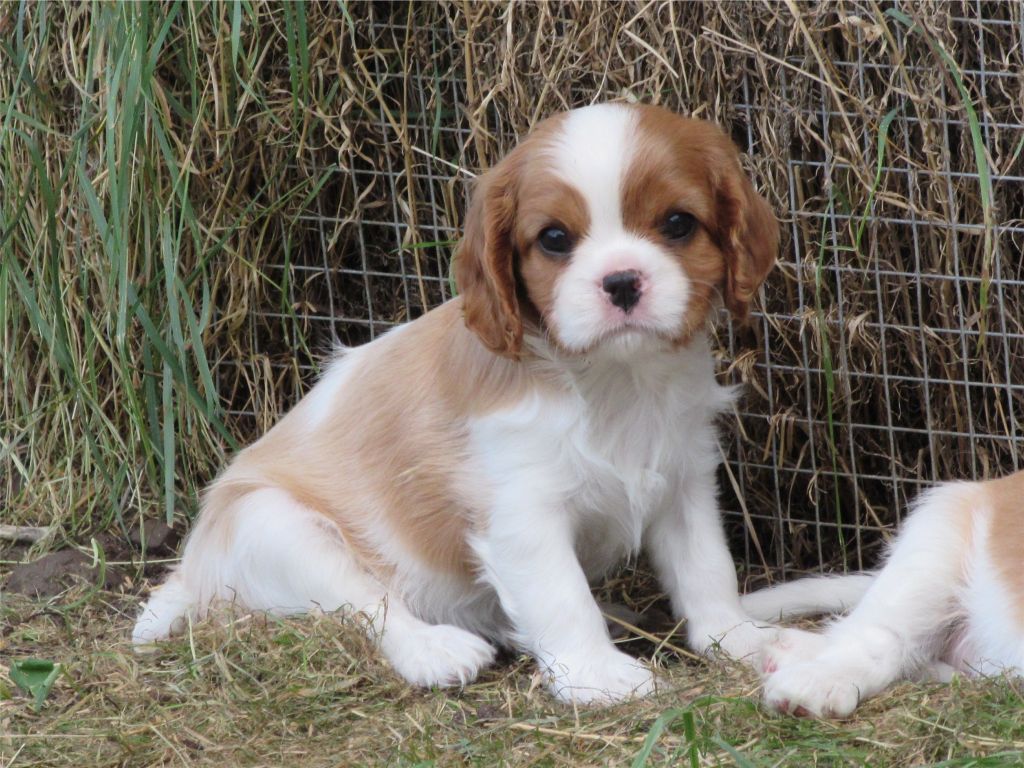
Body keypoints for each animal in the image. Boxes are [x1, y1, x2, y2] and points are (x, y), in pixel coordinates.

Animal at [132, 103, 779, 704]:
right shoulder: (523, 512)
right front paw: (599, 678)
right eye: (554, 239)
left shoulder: (684, 480)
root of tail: (192, 572)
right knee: (366, 605)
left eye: (678, 223)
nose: (621, 281)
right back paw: (435, 650)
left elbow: (707, 570)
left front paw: (743, 642)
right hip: (274, 525)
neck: (616, 381)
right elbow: (561, 595)